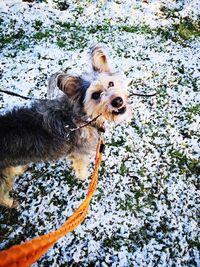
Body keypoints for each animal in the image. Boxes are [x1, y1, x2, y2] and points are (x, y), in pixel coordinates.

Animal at [0, 45, 131, 208]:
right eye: (95, 95)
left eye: (111, 83)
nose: (118, 101)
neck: (81, 117)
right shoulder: (79, 154)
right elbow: (80, 167)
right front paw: (84, 177)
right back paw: (10, 202)